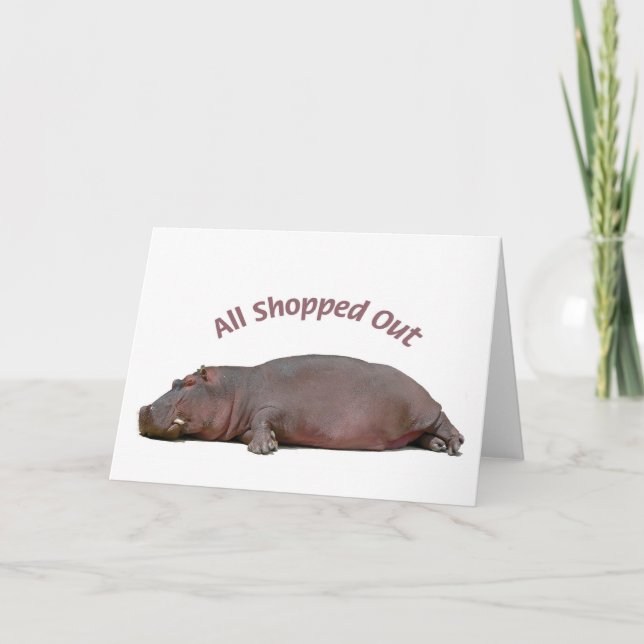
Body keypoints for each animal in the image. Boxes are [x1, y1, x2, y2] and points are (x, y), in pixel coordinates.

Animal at [138, 355, 464, 456]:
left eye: (188, 382)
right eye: (174, 380)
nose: (144, 409)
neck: (233, 389)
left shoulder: (275, 406)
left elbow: (263, 417)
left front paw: (262, 447)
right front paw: (270, 441)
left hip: (423, 410)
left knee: (443, 419)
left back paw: (452, 445)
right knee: (420, 436)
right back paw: (436, 446)